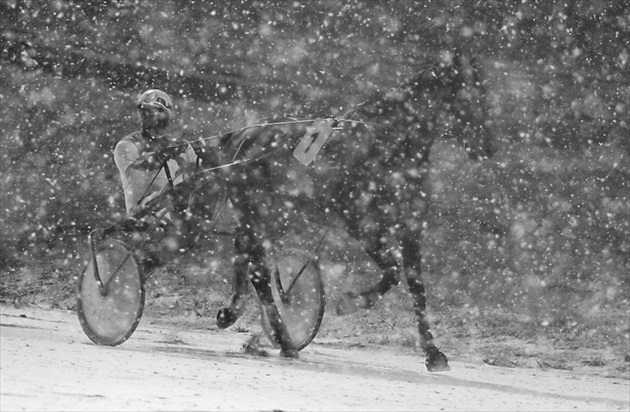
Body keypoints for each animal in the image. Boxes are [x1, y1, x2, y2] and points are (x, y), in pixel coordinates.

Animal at [189, 50, 498, 370]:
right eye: (470, 94)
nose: (489, 145)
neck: (388, 146)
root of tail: (244, 134)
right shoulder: (360, 222)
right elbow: (392, 272)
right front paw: (351, 302)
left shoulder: (410, 226)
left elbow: (416, 286)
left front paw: (433, 352)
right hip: (258, 207)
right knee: (258, 269)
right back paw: (285, 341)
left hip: (272, 213)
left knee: (244, 250)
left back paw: (232, 313)